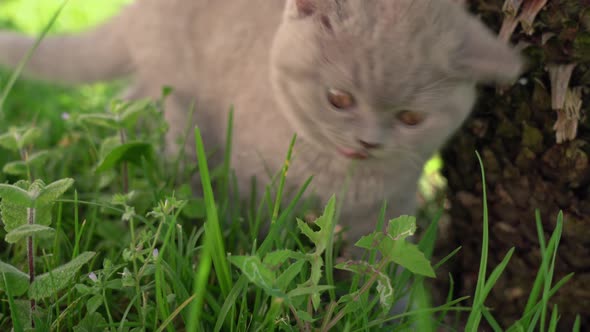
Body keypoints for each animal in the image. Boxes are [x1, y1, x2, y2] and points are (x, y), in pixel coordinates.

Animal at [0, 0, 524, 244]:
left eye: (411, 117)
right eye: (338, 99)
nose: (368, 141)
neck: (342, 178)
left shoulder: (388, 211)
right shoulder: (248, 182)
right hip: (170, 89)